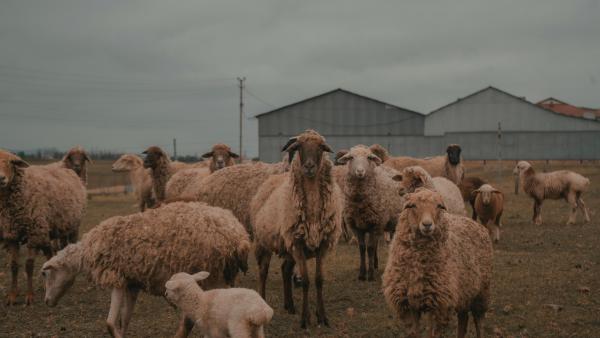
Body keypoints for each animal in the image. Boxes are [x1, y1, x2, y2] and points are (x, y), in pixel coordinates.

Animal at [0, 149, 86, 304]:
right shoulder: (11, 235)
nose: (1, 178)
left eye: (11, 162)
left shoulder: (34, 233)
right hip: (47, 230)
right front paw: (12, 296)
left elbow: (28, 266)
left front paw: (29, 296)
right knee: (49, 254)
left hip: (70, 227)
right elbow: (14, 266)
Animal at [40, 201, 248, 338]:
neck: (86, 252)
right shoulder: (131, 284)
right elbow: (124, 320)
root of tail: (238, 235)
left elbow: (109, 323)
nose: (47, 301)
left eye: (46, 274)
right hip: (222, 275)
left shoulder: (116, 278)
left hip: (212, 276)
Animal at [250, 129, 342, 328]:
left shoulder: (321, 244)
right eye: (299, 147)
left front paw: (322, 317)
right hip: (264, 241)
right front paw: (305, 319)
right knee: (263, 271)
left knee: (285, 269)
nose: (308, 166)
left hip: (288, 245)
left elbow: (319, 280)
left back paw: (290, 305)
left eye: (321, 147)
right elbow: (306, 281)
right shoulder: (298, 243)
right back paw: (263, 300)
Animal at [332, 145, 404, 280]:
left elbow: (369, 248)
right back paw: (375, 263)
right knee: (375, 244)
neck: (360, 203)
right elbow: (362, 248)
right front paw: (362, 273)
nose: (360, 171)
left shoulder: (375, 224)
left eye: (369, 157)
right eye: (351, 157)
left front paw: (370, 275)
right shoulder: (357, 226)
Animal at [382, 189, 494, 336]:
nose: (427, 225)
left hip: (482, 292)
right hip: (464, 292)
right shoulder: (408, 306)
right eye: (412, 205)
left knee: (479, 321)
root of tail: (472, 221)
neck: (418, 264)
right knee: (463, 320)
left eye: (439, 206)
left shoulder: (439, 306)